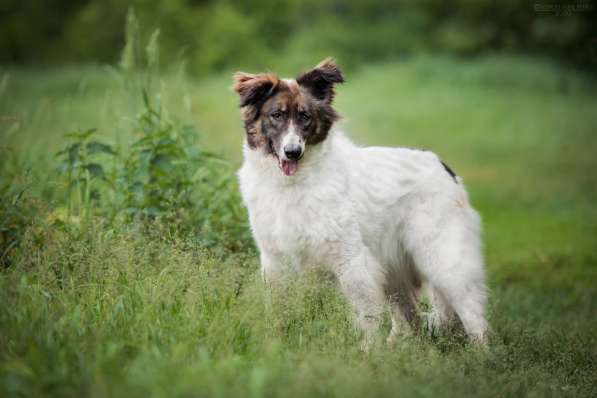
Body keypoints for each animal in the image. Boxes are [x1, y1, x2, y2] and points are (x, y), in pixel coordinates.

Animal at [230, 57, 486, 346]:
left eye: (305, 117)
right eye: (277, 115)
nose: (293, 152)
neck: (293, 185)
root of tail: (445, 168)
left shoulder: (352, 260)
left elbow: (366, 318)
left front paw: (367, 352)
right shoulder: (275, 261)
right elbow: (277, 310)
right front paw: (275, 343)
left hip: (445, 263)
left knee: (475, 318)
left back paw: (481, 353)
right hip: (394, 273)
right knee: (411, 322)